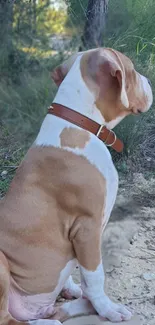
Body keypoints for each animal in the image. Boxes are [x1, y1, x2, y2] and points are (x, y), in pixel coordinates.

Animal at [0, 46, 153, 324]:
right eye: (133, 70)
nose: (149, 81)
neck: (80, 123)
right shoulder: (87, 227)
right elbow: (95, 275)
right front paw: (107, 308)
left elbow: (76, 272)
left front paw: (73, 289)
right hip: (1, 265)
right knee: (8, 319)